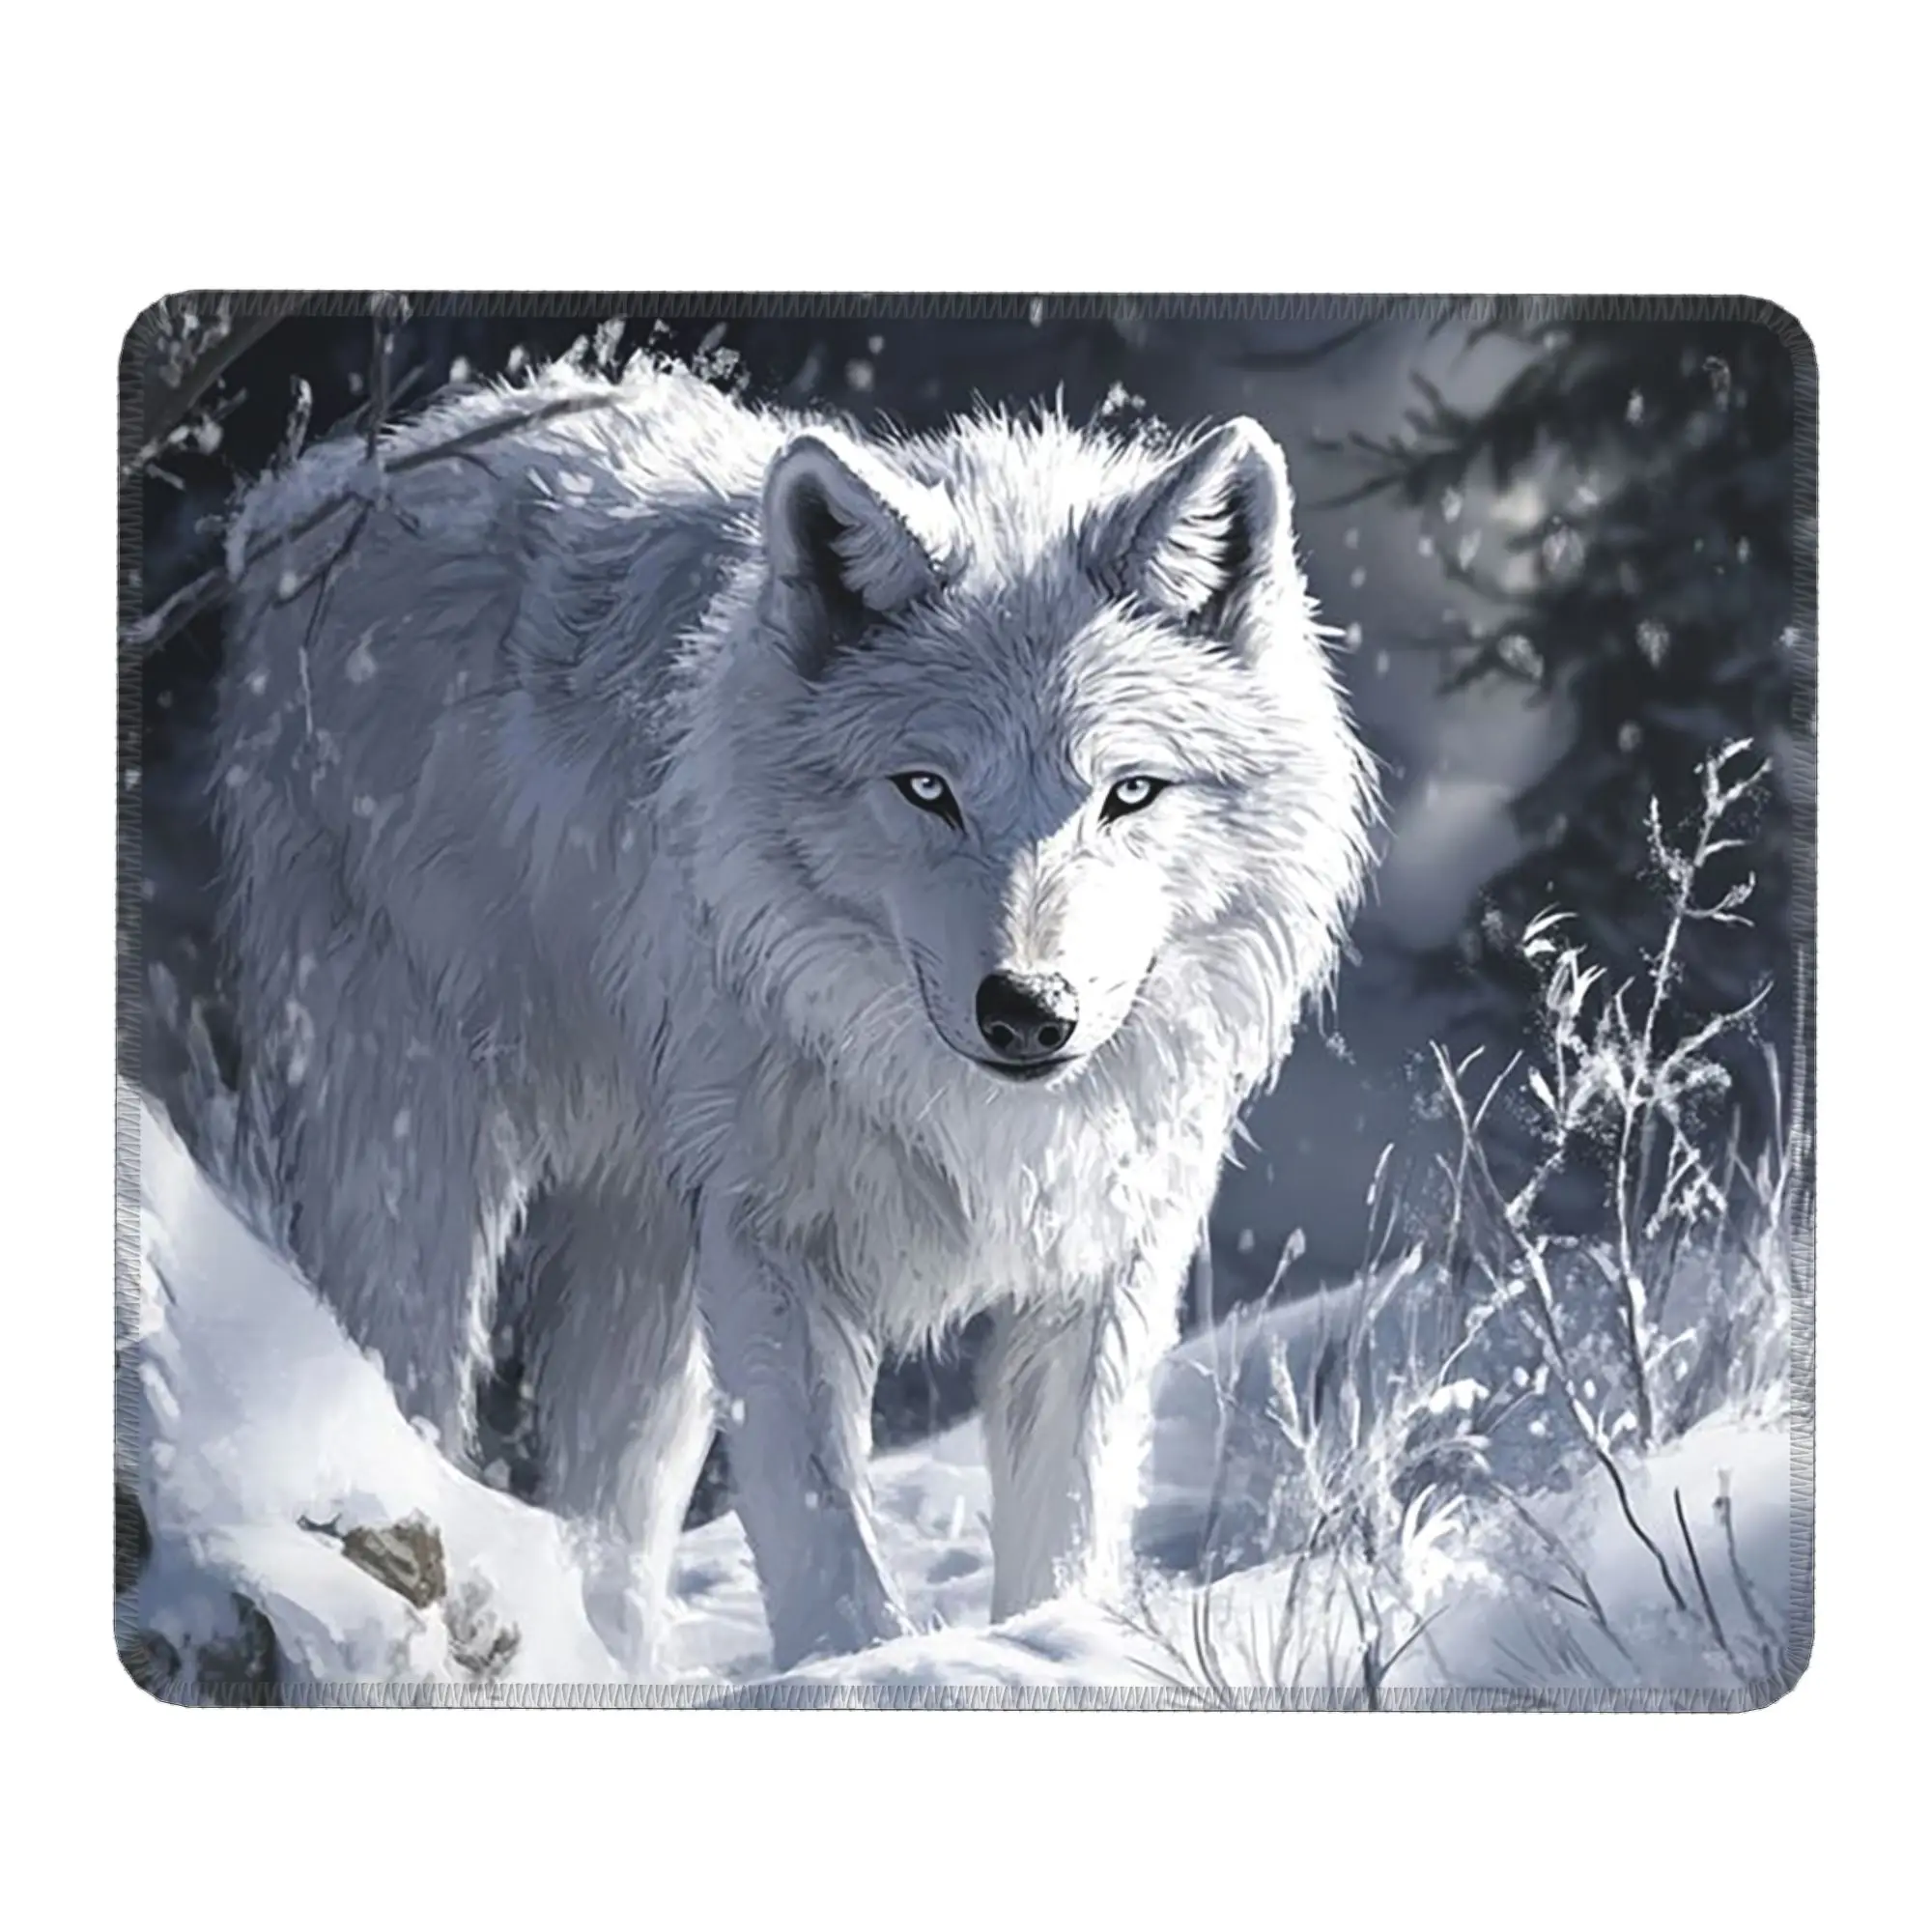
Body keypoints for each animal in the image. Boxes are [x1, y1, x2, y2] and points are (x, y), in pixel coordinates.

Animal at [211, 357, 1375, 1673]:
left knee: (612, 1505)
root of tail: (324, 480)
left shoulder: (1098, 1264)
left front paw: (1041, 1655)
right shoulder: (774, 1244)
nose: (1029, 1010)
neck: (965, 1116)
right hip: (417, 1161)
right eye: (927, 789)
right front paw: (867, 1673)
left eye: (1127, 793)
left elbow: (1062, 1541)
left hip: (646, 1250)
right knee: (402, 1388)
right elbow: (822, 1534)